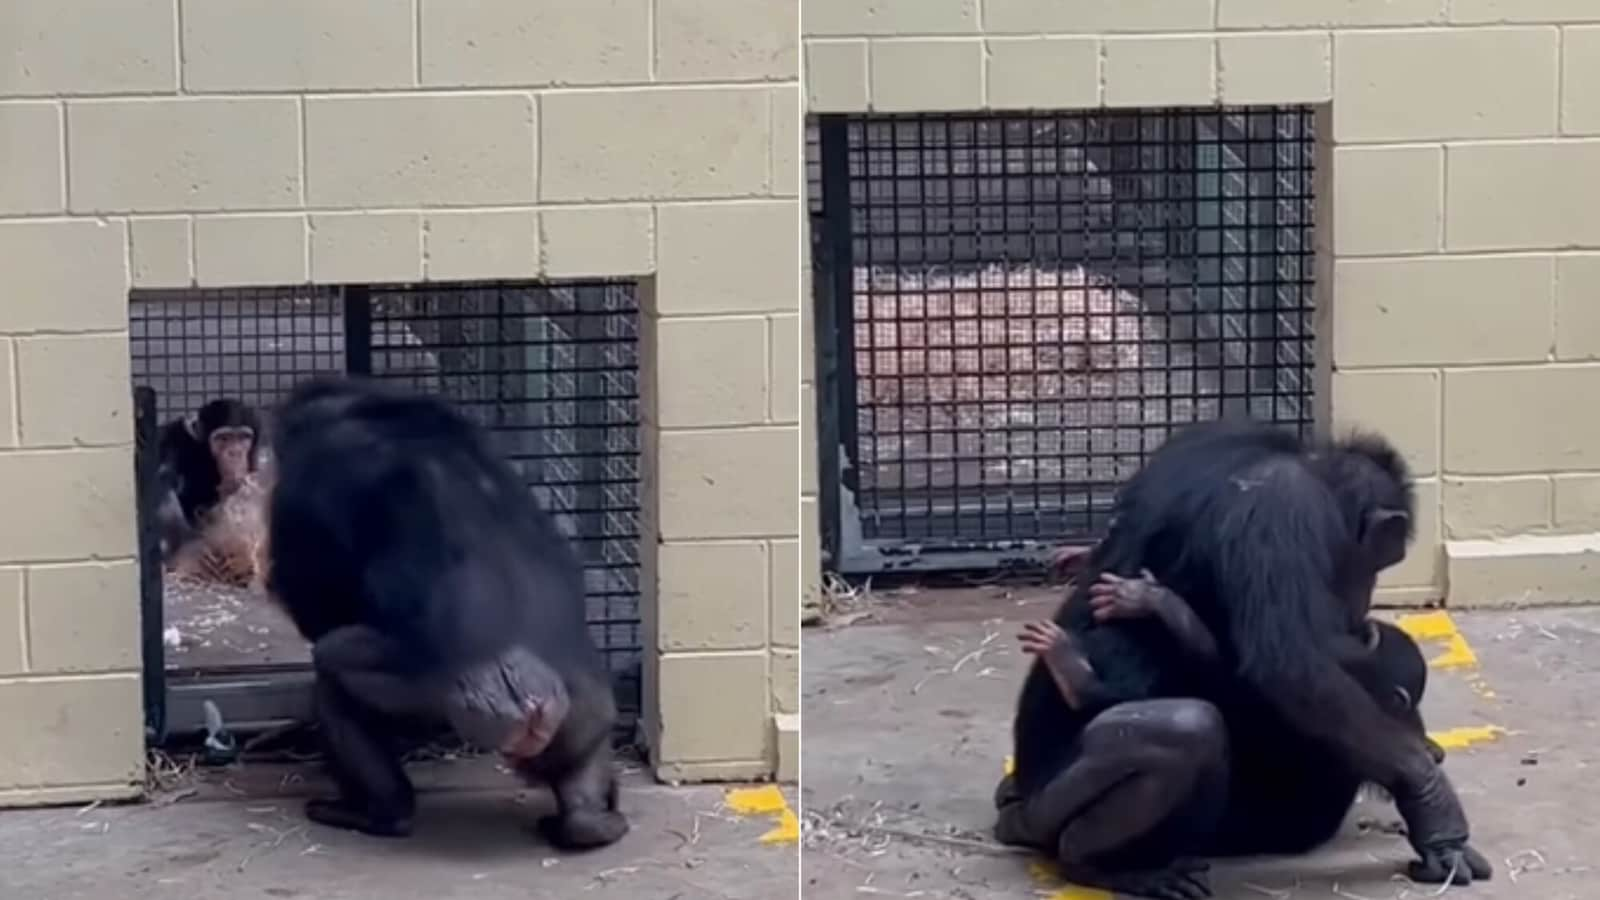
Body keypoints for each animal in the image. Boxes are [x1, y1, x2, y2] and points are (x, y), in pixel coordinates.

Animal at [262, 373, 624, 845]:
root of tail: (527, 689)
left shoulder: (299, 493)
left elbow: (310, 597)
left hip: (428, 694)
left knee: (333, 678)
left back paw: (377, 812)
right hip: (588, 706)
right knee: (583, 766)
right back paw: (591, 819)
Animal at [998, 419, 1484, 896]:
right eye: (1381, 559)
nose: (1364, 599)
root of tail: (1025, 807)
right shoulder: (1282, 507)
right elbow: (1293, 665)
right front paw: (1433, 805)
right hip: (1055, 807)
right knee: (1186, 728)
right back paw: (1109, 865)